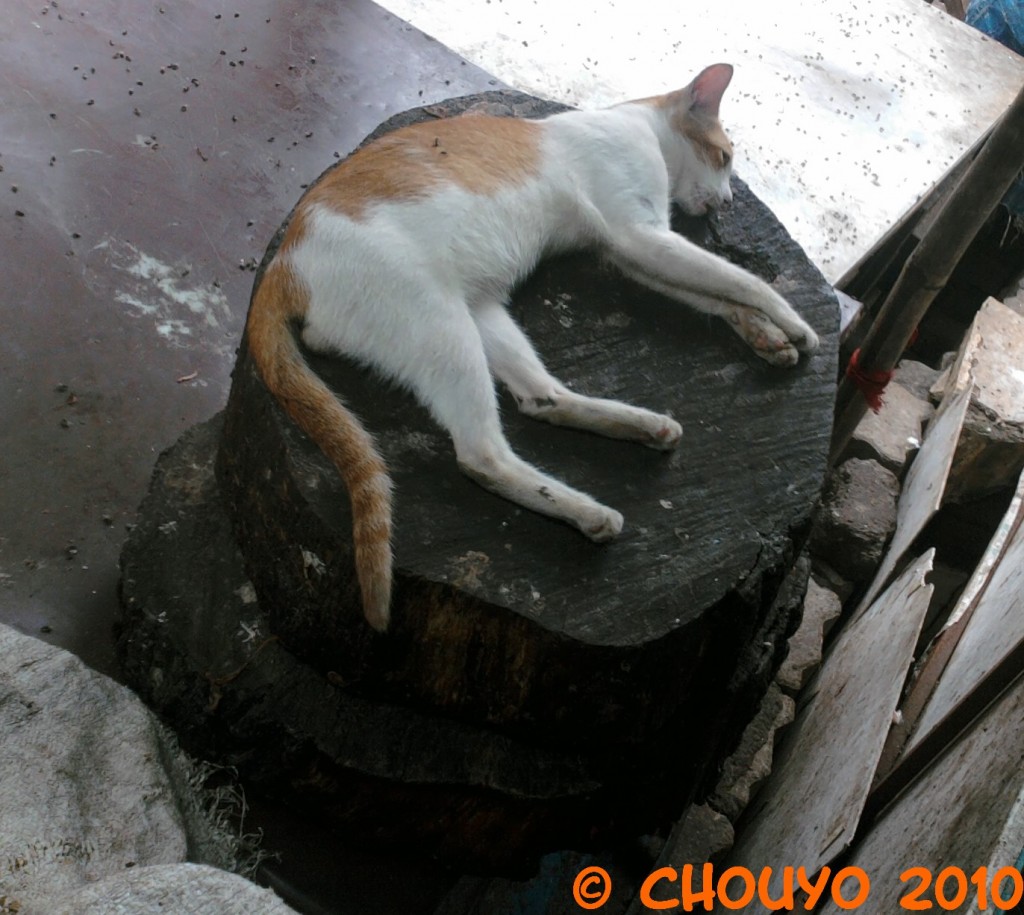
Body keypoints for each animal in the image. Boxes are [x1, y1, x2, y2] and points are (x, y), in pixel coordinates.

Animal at [243, 64, 819, 634]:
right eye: (724, 158)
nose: (727, 202)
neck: (637, 125)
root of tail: (282, 265)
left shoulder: (629, 253)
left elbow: (718, 294)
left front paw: (767, 336)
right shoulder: (640, 237)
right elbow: (743, 280)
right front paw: (795, 324)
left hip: (483, 314)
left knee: (540, 400)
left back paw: (644, 427)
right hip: (442, 324)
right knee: (482, 455)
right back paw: (590, 512)